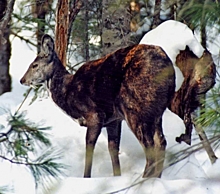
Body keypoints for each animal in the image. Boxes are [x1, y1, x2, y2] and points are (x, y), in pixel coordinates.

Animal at [20, 34, 175, 177]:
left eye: (34, 65)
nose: (22, 80)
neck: (67, 93)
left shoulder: (94, 114)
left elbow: (89, 147)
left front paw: (86, 177)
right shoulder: (114, 120)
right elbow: (113, 149)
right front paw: (117, 176)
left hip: (135, 108)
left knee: (150, 145)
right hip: (156, 112)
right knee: (161, 142)